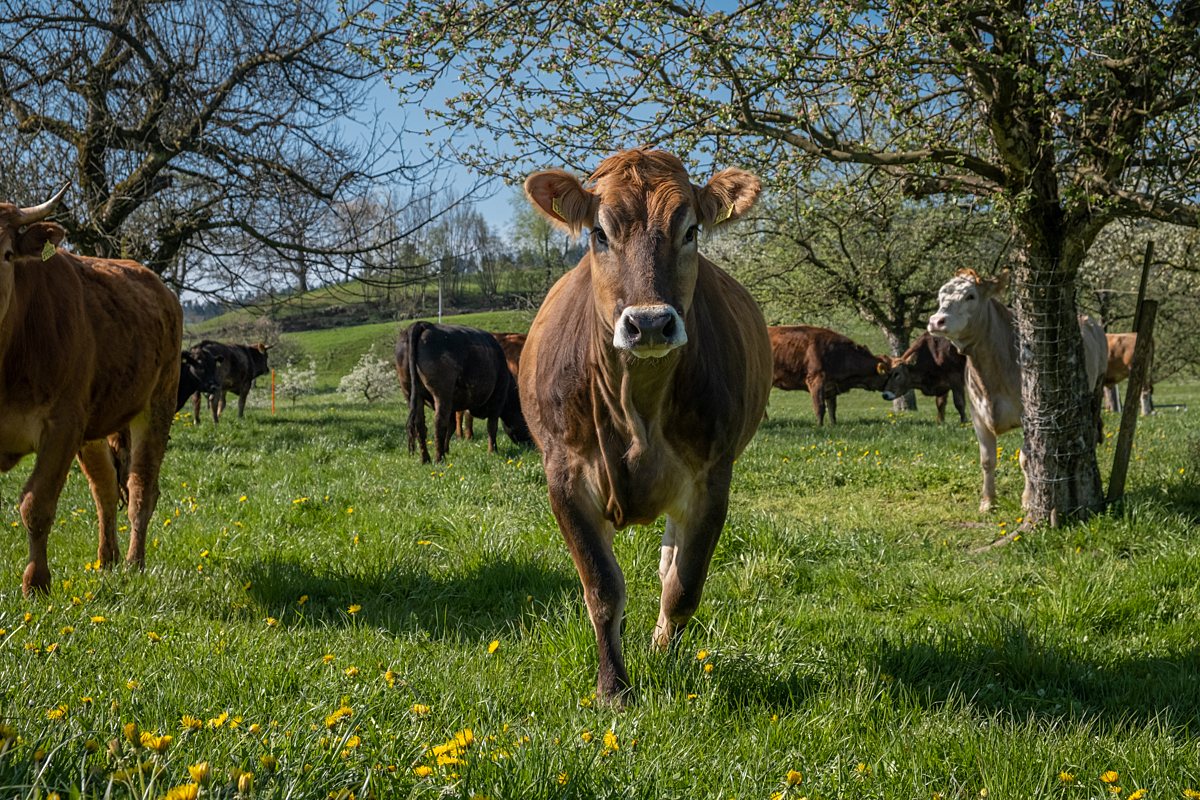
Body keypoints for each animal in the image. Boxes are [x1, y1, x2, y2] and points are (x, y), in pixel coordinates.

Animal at [0, 185, 182, 595]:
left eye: (5, 254)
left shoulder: (62, 424)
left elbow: (36, 505)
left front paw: (36, 584)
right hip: (96, 423)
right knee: (104, 488)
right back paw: (106, 561)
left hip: (158, 403)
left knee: (140, 489)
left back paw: (133, 563)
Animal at [397, 321, 532, 463]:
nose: (532, 445)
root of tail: (424, 324)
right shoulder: (498, 397)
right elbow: (491, 426)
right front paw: (492, 451)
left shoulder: (453, 405)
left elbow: (451, 426)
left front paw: (447, 449)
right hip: (442, 394)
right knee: (439, 422)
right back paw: (439, 459)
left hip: (412, 394)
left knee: (420, 424)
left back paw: (426, 459)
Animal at [519, 149, 772, 706]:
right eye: (599, 233)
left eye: (690, 230)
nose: (651, 323)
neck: (636, 410)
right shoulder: (564, 479)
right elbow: (602, 588)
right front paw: (613, 689)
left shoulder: (711, 481)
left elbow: (683, 585)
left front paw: (664, 659)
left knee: (668, 565)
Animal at [927, 269, 1107, 512]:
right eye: (939, 297)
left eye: (970, 296)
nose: (936, 321)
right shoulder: (977, 415)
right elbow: (987, 460)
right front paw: (987, 502)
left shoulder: (1030, 416)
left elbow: (1026, 459)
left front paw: (1028, 501)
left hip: (1097, 387)